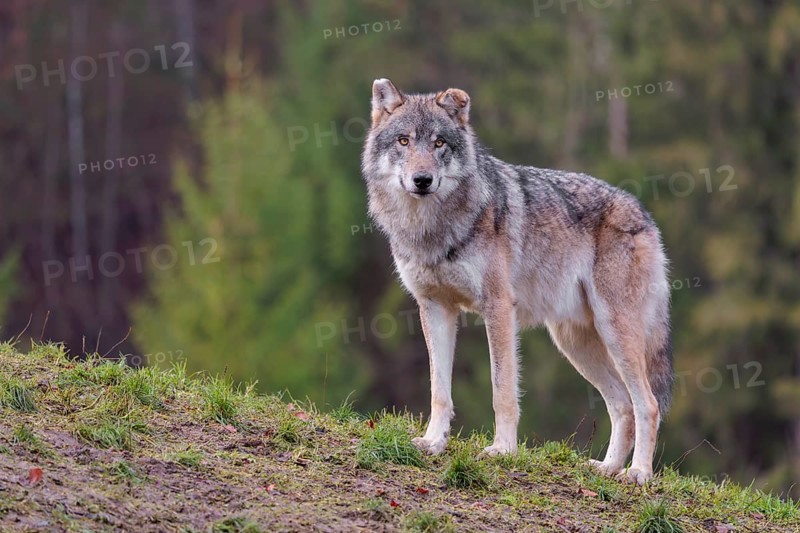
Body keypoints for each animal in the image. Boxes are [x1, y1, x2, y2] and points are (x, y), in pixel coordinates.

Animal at [361, 79, 672, 484]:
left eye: (439, 143)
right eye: (403, 141)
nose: (422, 180)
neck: (432, 228)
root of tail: (643, 213)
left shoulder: (497, 307)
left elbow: (502, 390)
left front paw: (502, 450)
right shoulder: (435, 308)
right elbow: (438, 389)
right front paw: (433, 442)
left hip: (614, 332)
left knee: (647, 404)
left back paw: (638, 474)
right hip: (574, 342)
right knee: (622, 405)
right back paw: (607, 467)